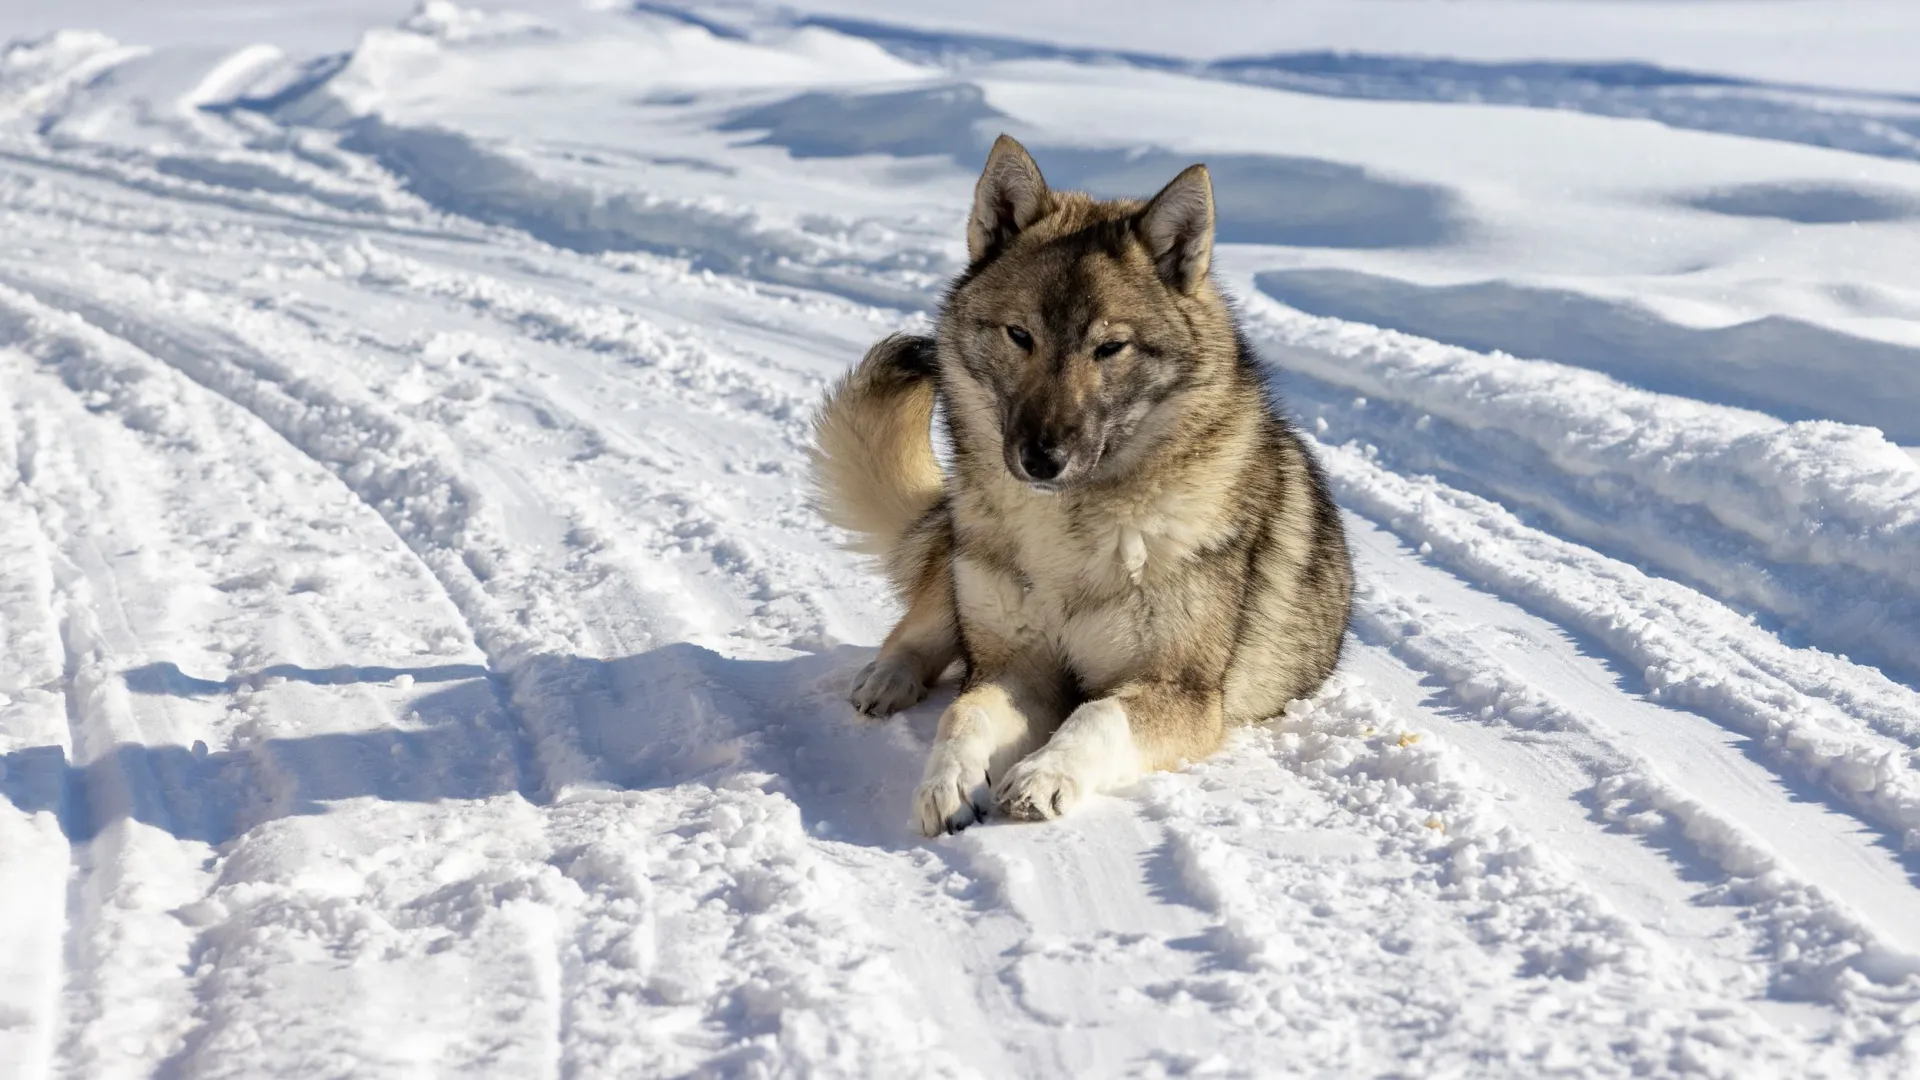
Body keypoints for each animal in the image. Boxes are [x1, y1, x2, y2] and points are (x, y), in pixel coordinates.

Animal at [810, 132, 1351, 834]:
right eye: (1020, 336)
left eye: (1110, 348)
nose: (1042, 458)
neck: (1071, 531)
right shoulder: (1016, 668)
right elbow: (962, 713)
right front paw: (948, 783)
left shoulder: (1180, 692)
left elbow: (1095, 715)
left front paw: (1043, 776)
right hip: (958, 580)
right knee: (913, 633)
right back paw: (885, 680)